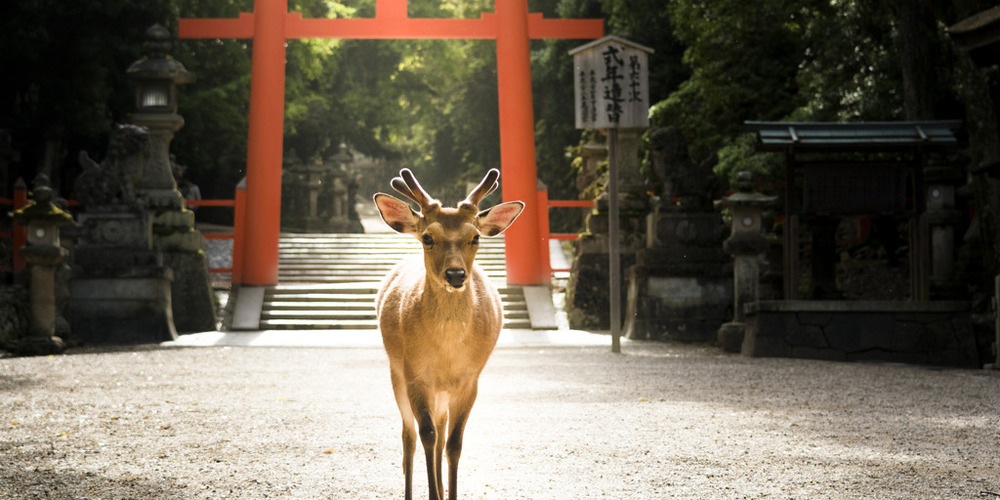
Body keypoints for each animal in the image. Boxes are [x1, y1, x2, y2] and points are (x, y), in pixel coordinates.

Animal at [374, 169, 524, 500]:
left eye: (475, 237)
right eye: (428, 238)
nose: (455, 275)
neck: (447, 349)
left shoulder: (471, 379)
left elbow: (454, 443)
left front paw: (448, 493)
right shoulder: (415, 374)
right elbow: (426, 435)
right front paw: (432, 494)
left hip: (442, 391)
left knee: (441, 431)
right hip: (396, 373)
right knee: (409, 436)